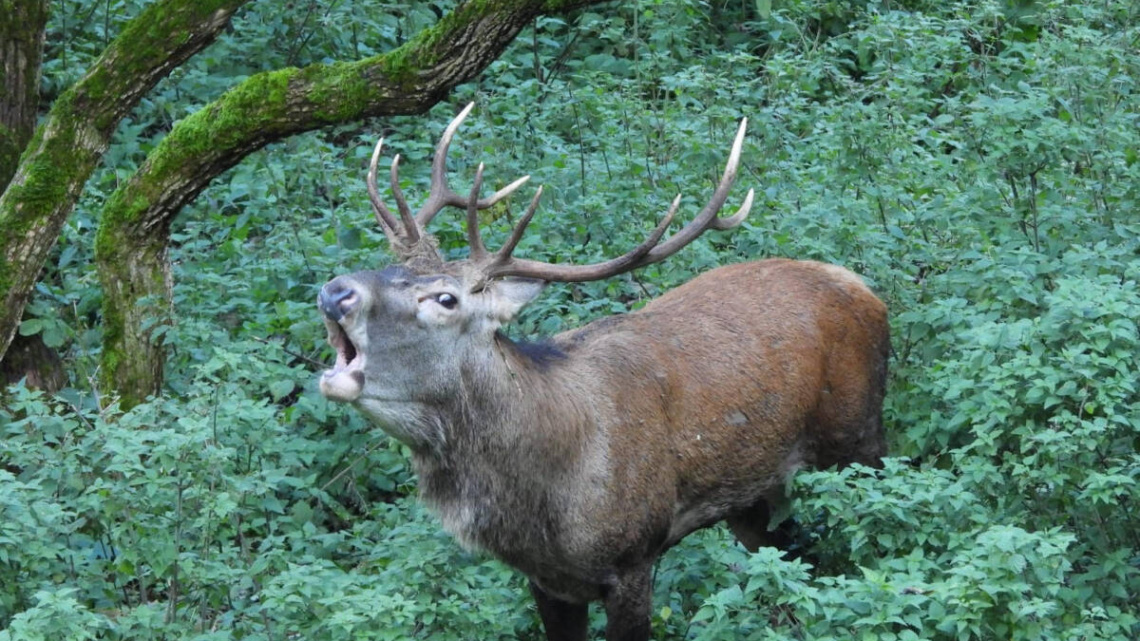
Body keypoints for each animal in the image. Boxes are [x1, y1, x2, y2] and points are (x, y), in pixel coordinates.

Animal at [316, 103, 889, 641]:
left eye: (444, 299)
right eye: (389, 267)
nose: (336, 290)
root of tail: (864, 288)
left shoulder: (634, 556)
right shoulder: (548, 581)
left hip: (860, 436)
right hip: (749, 496)